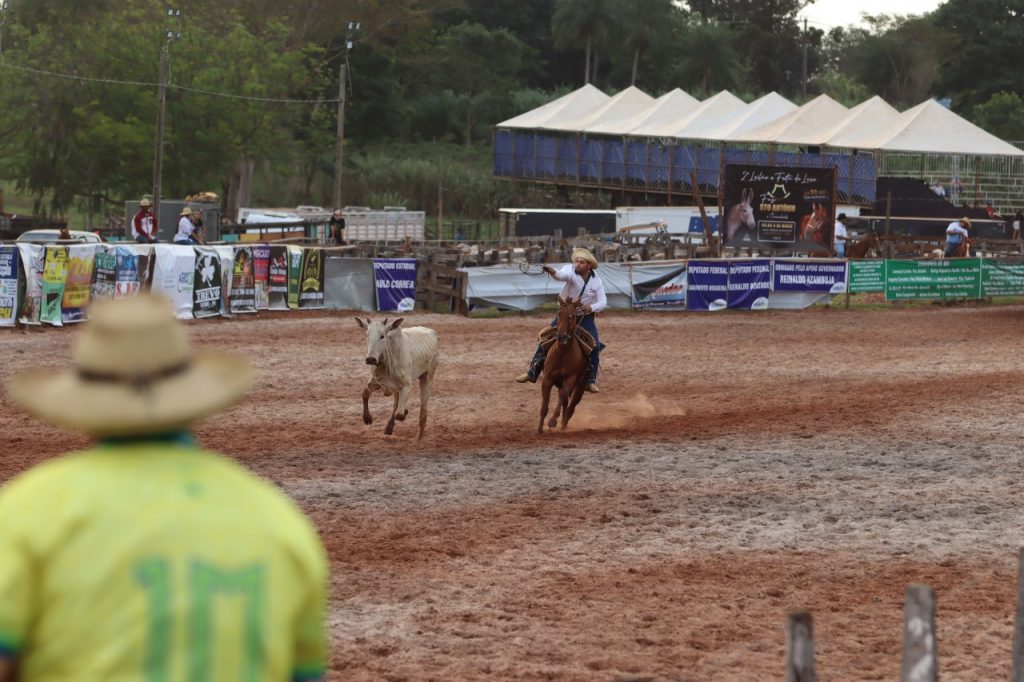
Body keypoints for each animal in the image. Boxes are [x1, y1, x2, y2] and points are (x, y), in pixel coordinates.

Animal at [540, 296, 589, 430]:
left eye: (572, 316)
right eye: (558, 314)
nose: (561, 336)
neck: (562, 354)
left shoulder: (570, 380)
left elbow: (563, 396)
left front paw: (552, 421)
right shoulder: (547, 379)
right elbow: (544, 407)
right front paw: (539, 429)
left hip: (580, 387)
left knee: (571, 407)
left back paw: (563, 426)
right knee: (566, 405)